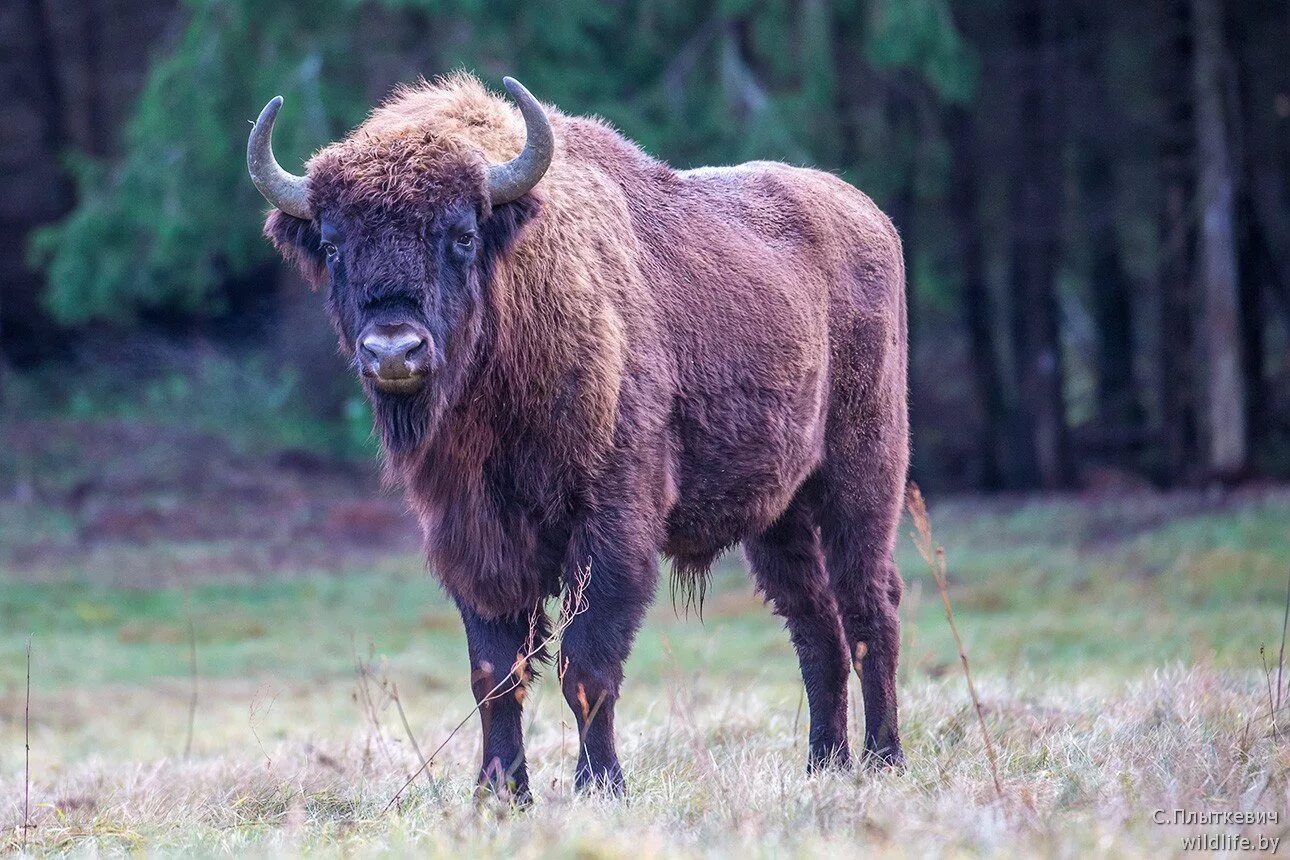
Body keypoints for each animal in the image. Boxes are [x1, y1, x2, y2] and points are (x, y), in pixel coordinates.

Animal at [248, 74, 908, 799]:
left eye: (461, 235)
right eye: (334, 245)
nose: (394, 350)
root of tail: (868, 215)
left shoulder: (611, 528)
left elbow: (585, 667)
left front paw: (600, 786)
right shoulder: (474, 538)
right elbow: (495, 674)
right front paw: (500, 794)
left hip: (863, 475)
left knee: (869, 606)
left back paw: (884, 759)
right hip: (778, 516)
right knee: (815, 625)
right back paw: (825, 763)